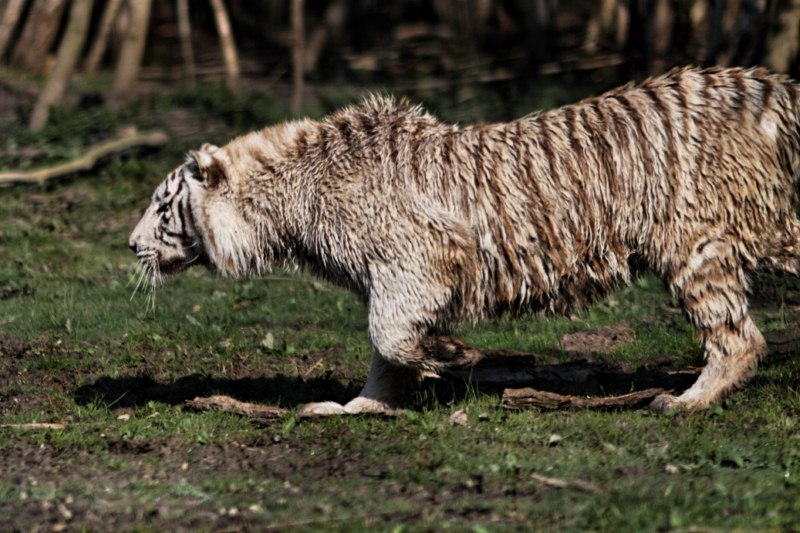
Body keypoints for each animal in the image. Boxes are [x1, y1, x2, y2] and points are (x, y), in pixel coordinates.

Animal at [128, 66, 800, 416]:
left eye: (163, 205)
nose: (131, 246)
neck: (287, 199)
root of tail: (762, 84)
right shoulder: (388, 281)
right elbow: (383, 354)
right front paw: (363, 406)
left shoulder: (415, 265)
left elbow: (390, 339)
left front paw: (452, 355)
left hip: (698, 246)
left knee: (739, 338)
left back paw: (686, 401)